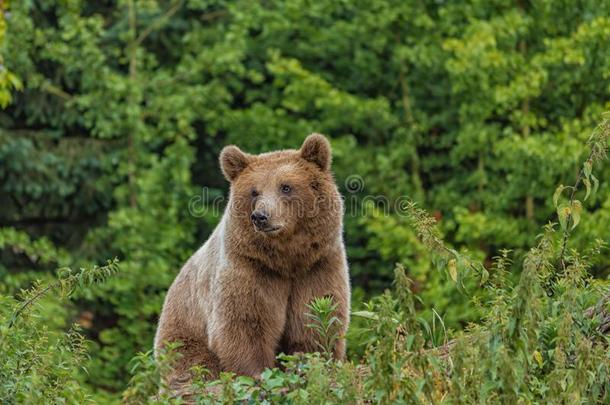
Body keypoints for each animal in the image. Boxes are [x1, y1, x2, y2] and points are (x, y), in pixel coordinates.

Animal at [154, 133, 350, 388]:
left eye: (286, 187)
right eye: (254, 191)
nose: (261, 216)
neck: (287, 260)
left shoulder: (318, 266)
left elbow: (315, 318)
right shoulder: (250, 266)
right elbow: (245, 322)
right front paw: (257, 373)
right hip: (182, 335)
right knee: (194, 364)